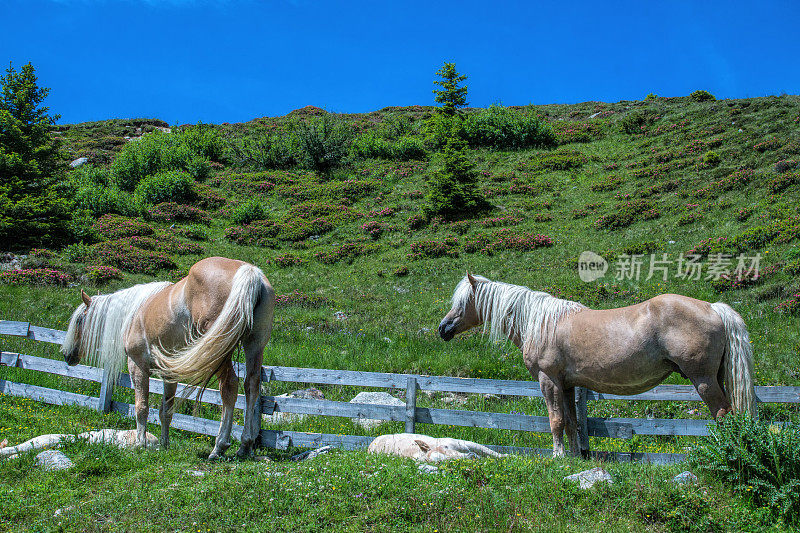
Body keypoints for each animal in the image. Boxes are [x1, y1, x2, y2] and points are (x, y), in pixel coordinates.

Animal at [62, 256, 276, 460]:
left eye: (79, 320)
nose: (67, 355)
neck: (133, 313)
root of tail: (249, 271)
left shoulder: (137, 365)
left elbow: (142, 406)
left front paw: (140, 444)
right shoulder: (169, 374)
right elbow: (166, 410)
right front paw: (164, 444)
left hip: (220, 351)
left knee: (229, 387)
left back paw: (219, 447)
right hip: (254, 346)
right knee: (251, 386)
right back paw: (245, 446)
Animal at [438, 274, 756, 458]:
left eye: (464, 301)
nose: (443, 328)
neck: (540, 323)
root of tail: (713, 307)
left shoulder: (548, 380)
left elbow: (555, 421)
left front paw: (558, 458)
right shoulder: (566, 385)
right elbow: (571, 423)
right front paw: (576, 458)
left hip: (703, 379)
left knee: (723, 414)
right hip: (716, 377)